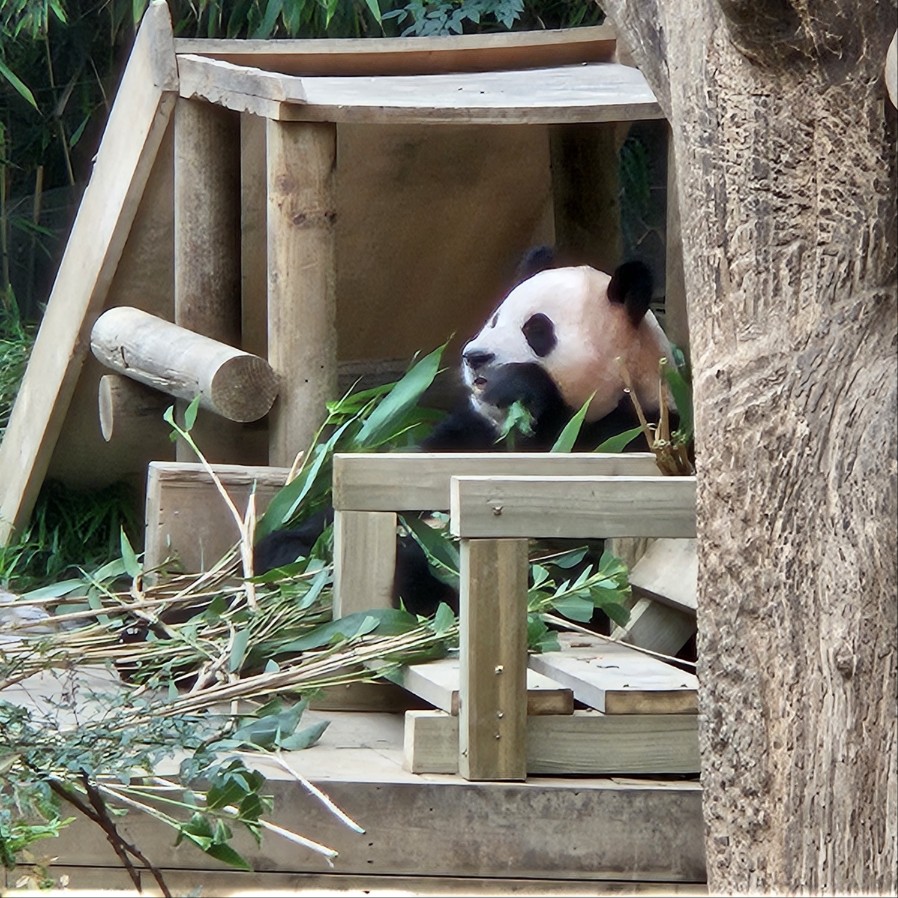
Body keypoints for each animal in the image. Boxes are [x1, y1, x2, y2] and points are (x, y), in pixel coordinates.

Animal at [252, 245, 672, 612]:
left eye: (537, 330)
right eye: (495, 319)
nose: (475, 356)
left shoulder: (631, 437)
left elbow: (575, 550)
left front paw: (518, 387)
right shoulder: (469, 434)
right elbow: (406, 480)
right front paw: (291, 546)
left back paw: (414, 571)